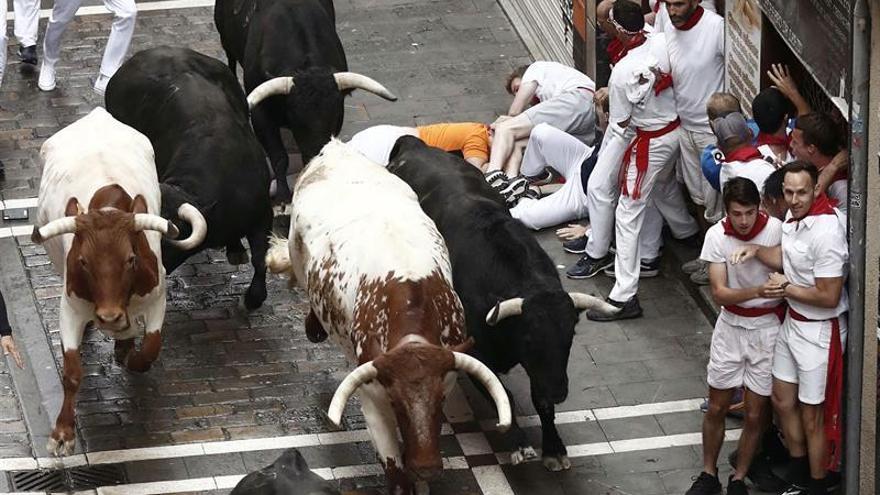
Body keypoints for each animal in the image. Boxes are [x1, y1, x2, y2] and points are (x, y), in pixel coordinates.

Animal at [33, 108, 203, 458]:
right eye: (84, 262)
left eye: (131, 259)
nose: (109, 316)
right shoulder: (70, 307)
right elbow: (72, 373)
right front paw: (63, 433)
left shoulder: (157, 297)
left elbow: (150, 347)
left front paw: (130, 355)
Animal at [268, 140, 512, 495]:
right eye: (396, 403)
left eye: (440, 400)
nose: (427, 466)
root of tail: (335, 148)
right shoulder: (372, 396)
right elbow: (394, 467)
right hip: (298, 260)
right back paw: (313, 326)